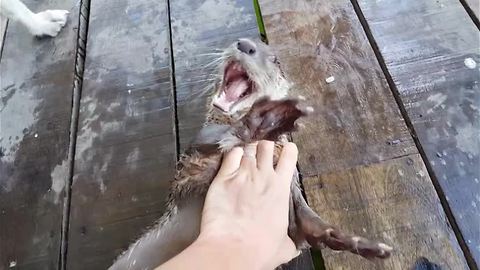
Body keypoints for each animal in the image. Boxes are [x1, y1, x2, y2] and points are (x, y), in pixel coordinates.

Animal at [108, 38, 390, 270]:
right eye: (239, 41)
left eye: (275, 60)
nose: (245, 44)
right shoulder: (190, 169)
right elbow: (207, 144)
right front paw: (258, 123)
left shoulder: (291, 194)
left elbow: (308, 226)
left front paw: (355, 241)